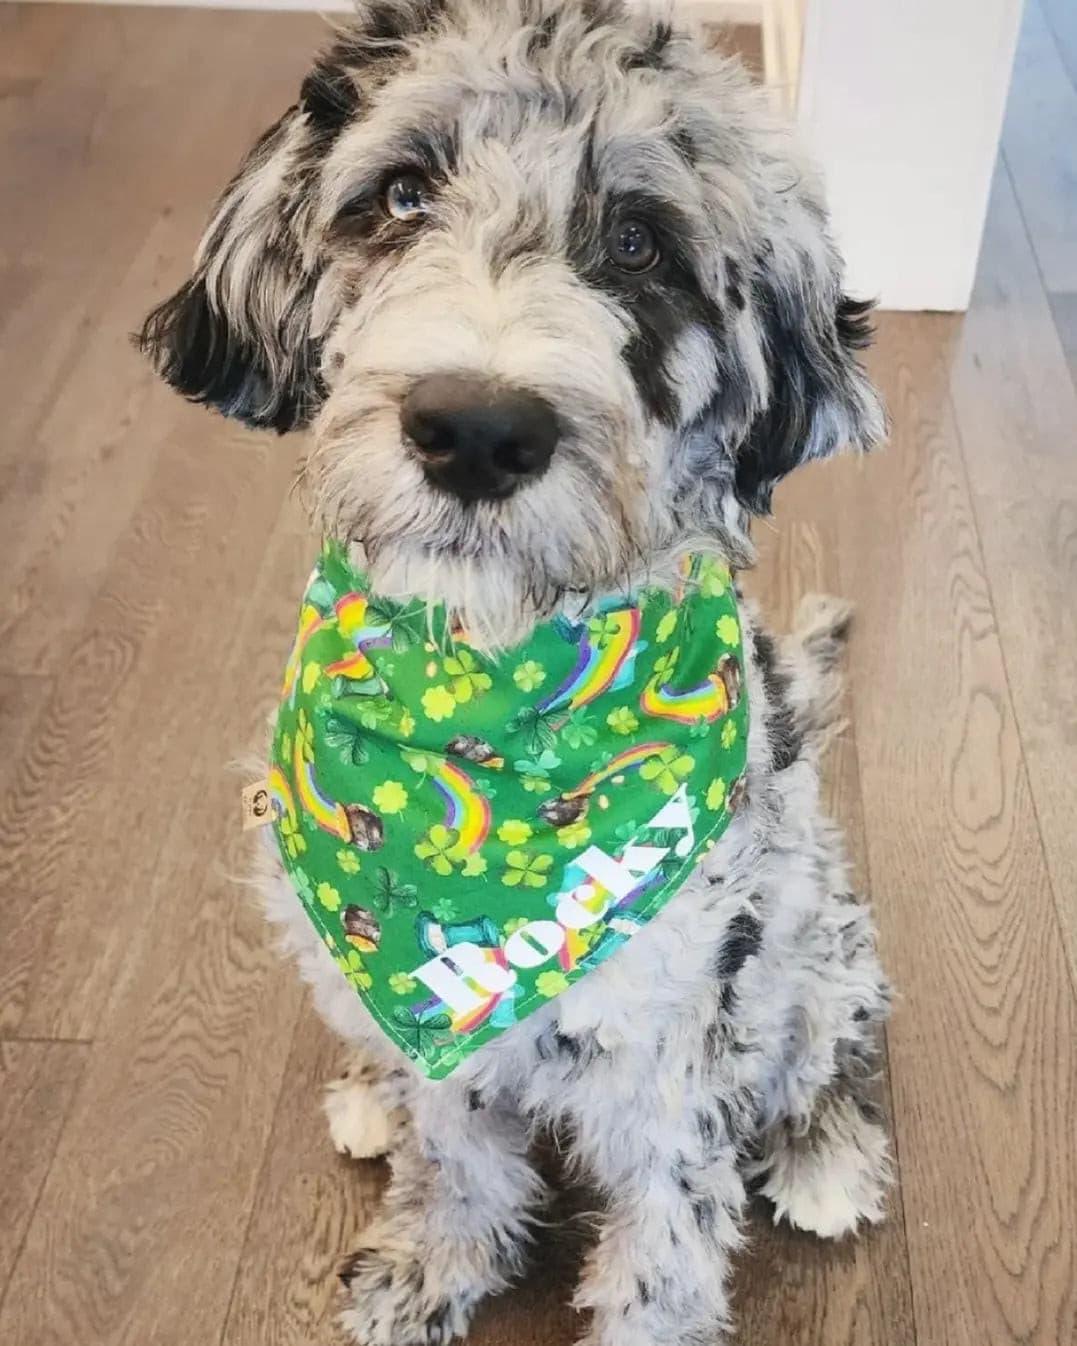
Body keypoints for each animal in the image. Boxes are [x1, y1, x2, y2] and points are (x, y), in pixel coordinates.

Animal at [136, 5, 893, 1340]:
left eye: (641, 244)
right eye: (399, 193)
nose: (477, 430)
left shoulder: (671, 1051)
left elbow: (665, 1240)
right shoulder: (439, 1023)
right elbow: (454, 1151)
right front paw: (436, 1261)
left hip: (817, 925)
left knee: (827, 1036)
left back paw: (825, 1148)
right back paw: (370, 1089)